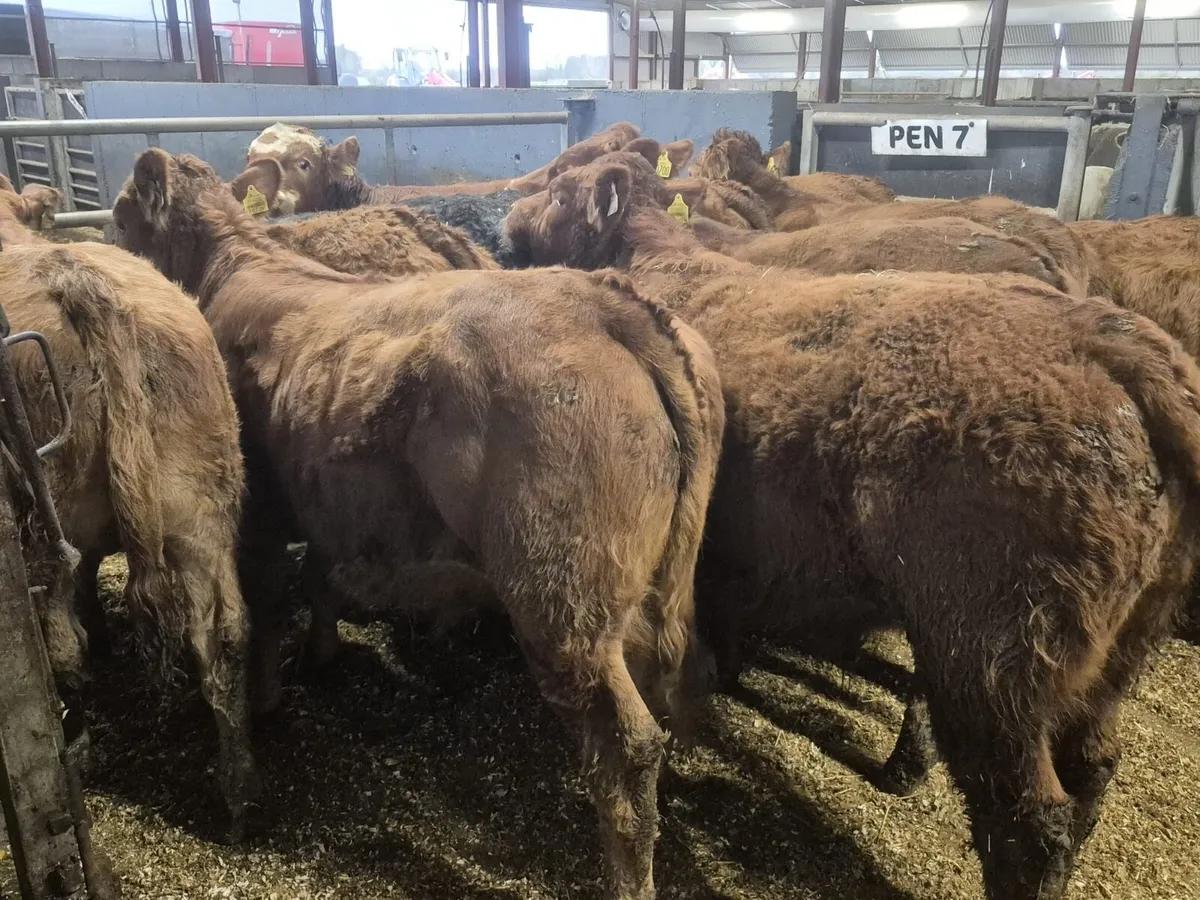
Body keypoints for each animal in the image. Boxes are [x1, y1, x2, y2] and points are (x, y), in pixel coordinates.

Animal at [0, 200, 256, 843]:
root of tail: (80, 284)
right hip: (202, 515)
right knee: (224, 638)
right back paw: (240, 797)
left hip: (43, 520)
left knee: (63, 649)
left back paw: (79, 742)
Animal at [113, 149, 724, 900]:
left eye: (120, 215)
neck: (237, 265)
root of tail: (602, 301)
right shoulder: (329, 502)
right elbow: (319, 580)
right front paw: (319, 656)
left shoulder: (256, 514)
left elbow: (265, 608)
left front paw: (266, 698)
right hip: (663, 583)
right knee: (690, 667)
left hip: (563, 603)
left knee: (626, 743)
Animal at [501, 150, 1200, 900]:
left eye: (561, 191)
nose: (509, 216)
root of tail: (1114, 344)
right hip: (1120, 646)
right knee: (1094, 766)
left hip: (996, 663)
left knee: (1030, 824)